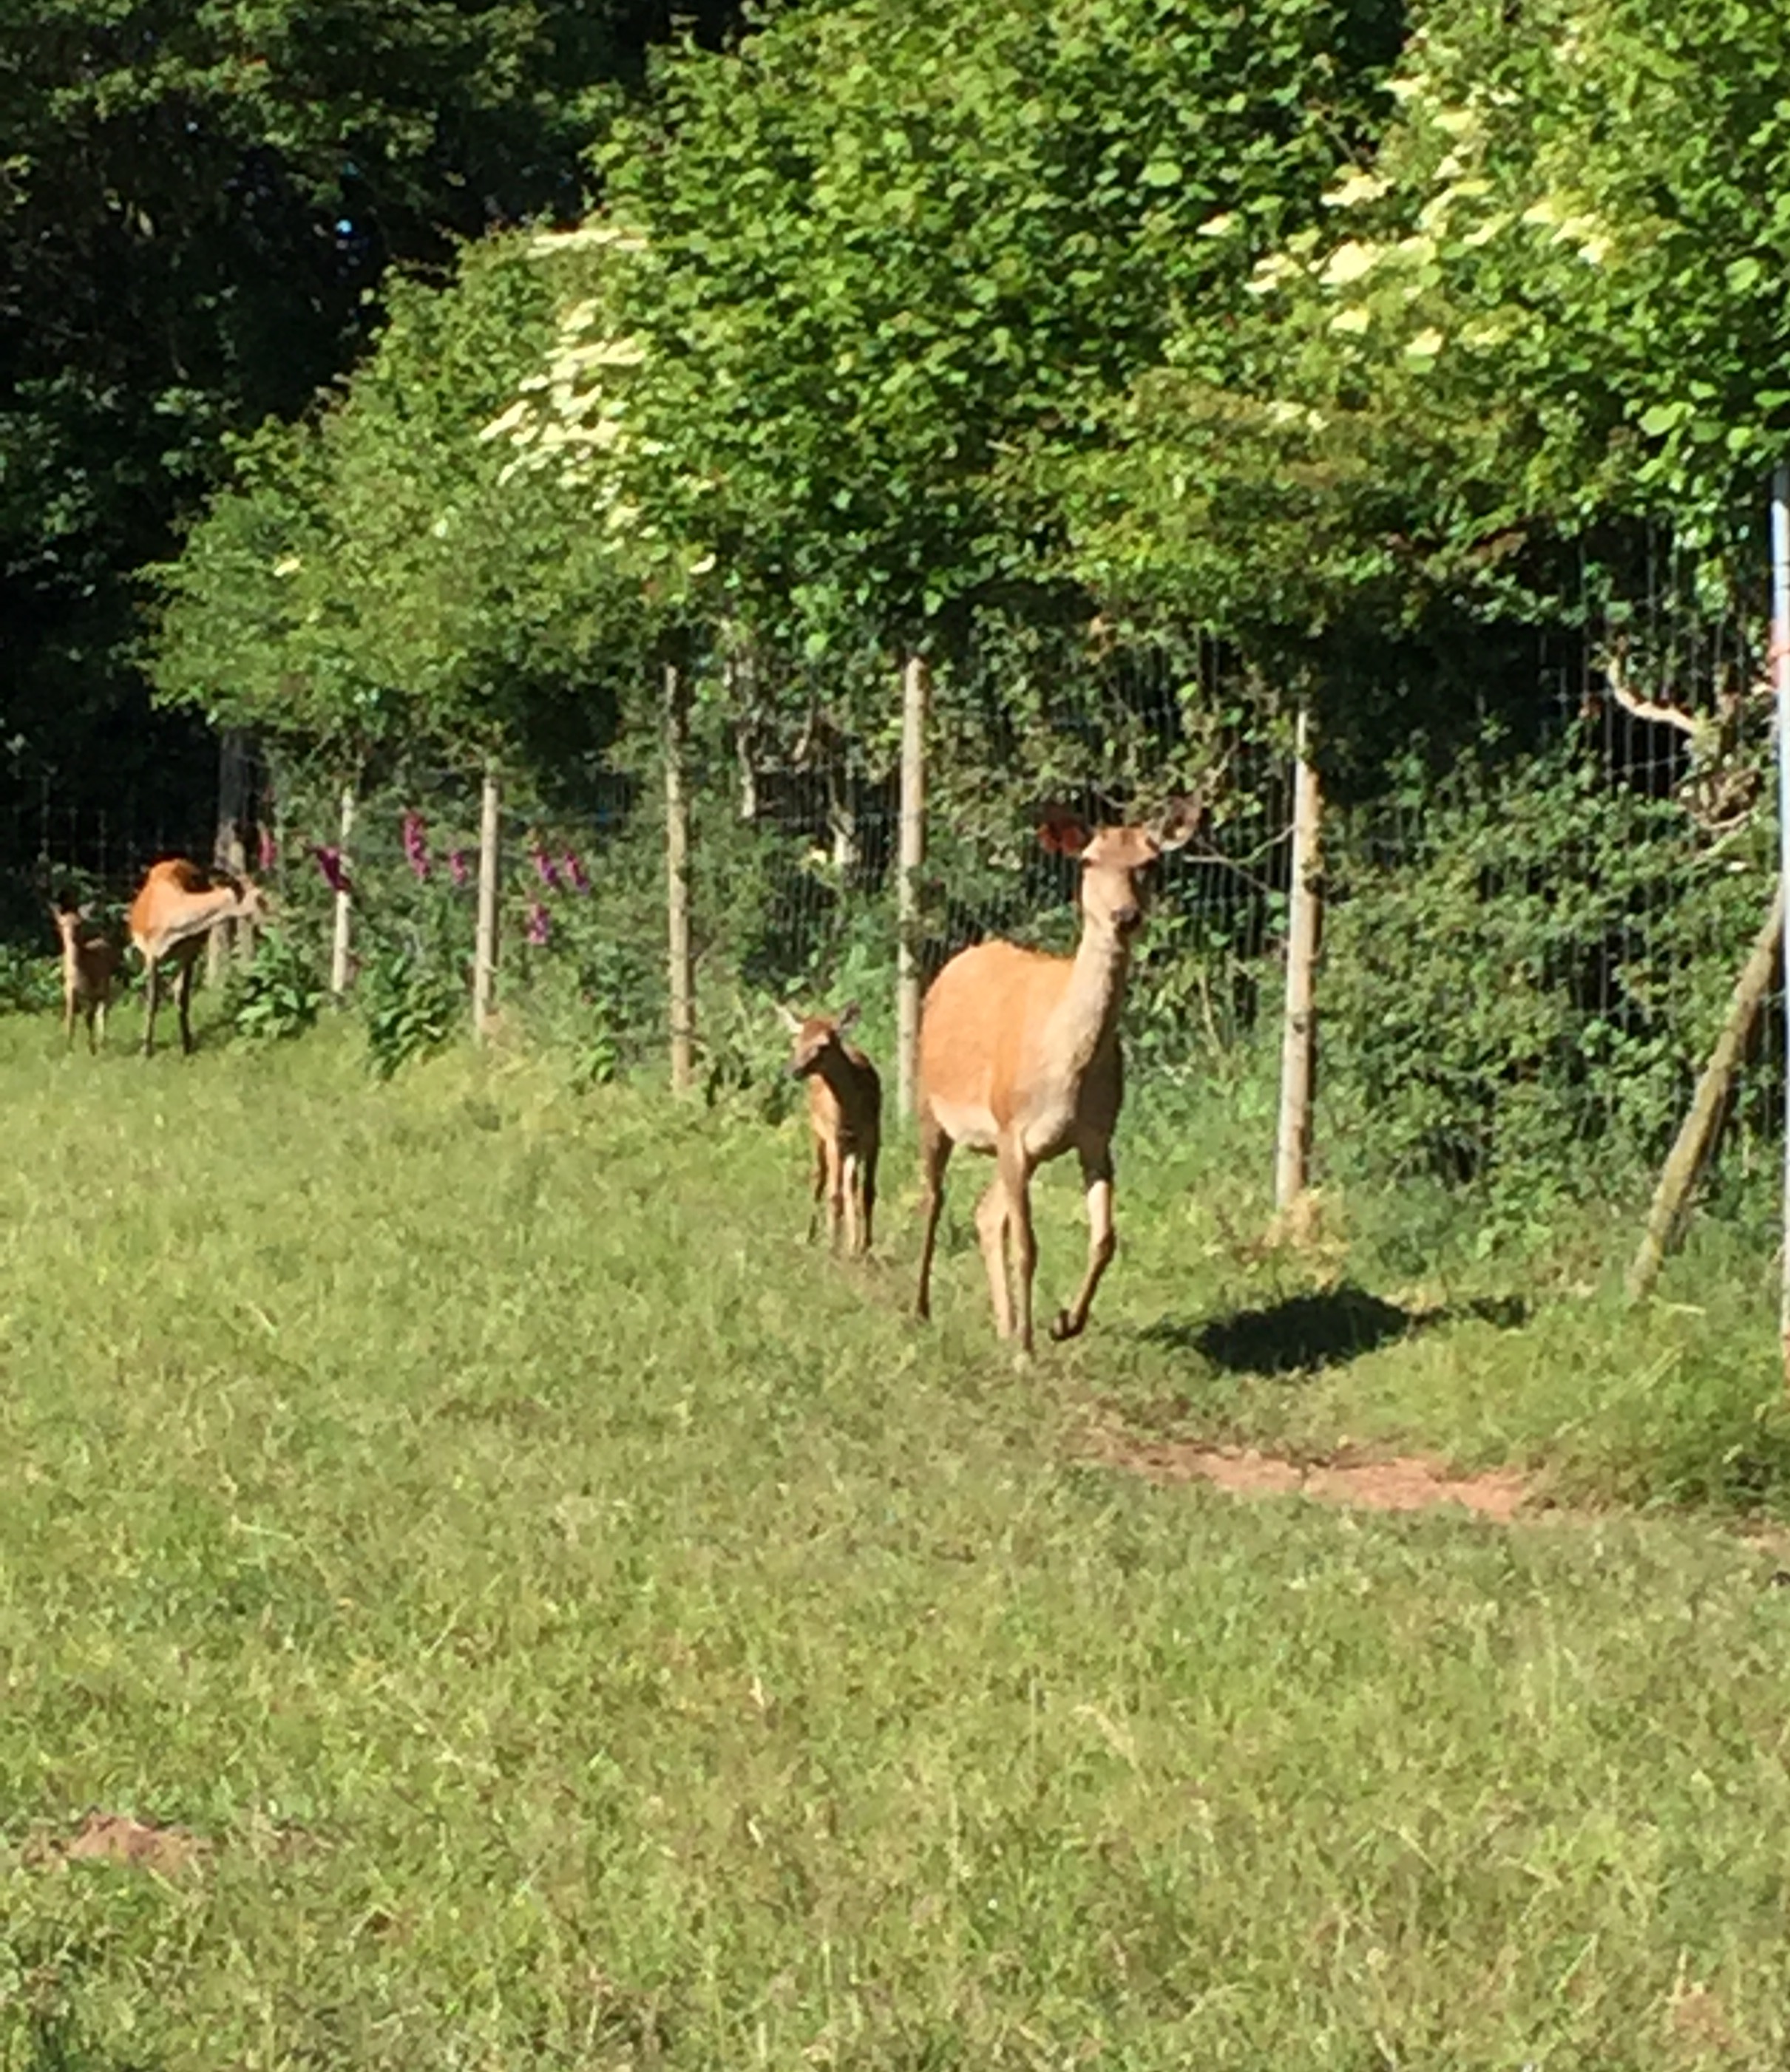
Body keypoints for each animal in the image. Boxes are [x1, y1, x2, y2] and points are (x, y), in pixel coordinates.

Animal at [50, 903, 121, 1052]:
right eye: (61, 924)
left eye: (79, 924)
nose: (71, 936)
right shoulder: (69, 989)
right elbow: (70, 1018)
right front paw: (69, 1047)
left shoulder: (93, 990)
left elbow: (90, 1018)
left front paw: (92, 1048)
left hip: (105, 985)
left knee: (102, 1012)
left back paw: (102, 1042)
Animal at [126, 853, 265, 1061]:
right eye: (258, 898)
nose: (272, 914)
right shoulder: (151, 953)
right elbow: (152, 1001)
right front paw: (145, 1051)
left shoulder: (189, 951)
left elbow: (182, 998)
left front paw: (187, 1047)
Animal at [774, 994, 882, 1251]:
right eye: (796, 1042)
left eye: (823, 1045)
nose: (792, 1070)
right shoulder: (833, 1137)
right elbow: (835, 1194)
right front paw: (833, 1245)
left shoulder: (874, 1137)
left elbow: (867, 1191)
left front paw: (864, 1245)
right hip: (817, 1132)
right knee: (820, 1178)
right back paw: (812, 1236)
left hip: (850, 1146)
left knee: (850, 1183)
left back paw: (850, 1241)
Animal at [907, 791, 1201, 1359]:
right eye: (1087, 861)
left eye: (1149, 863)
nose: (1124, 914)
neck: (1067, 1072)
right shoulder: (1010, 1127)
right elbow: (1028, 1246)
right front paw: (1028, 1350)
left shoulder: (1095, 1136)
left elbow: (1104, 1237)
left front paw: (1063, 1322)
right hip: (930, 1102)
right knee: (933, 1197)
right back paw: (921, 1310)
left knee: (985, 1211)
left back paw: (1002, 1325)